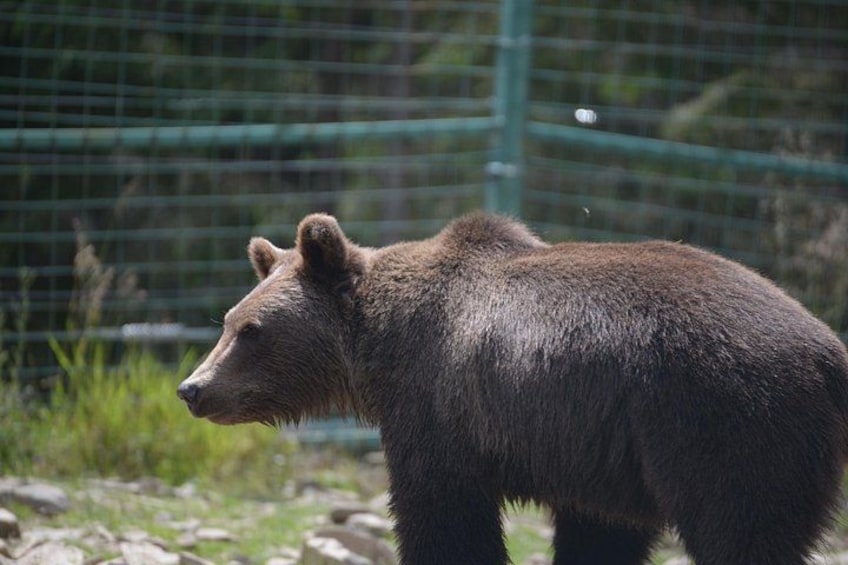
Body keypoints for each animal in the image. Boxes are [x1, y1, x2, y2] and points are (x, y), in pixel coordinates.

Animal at [177, 212, 848, 565]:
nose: (192, 388)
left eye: (252, 330)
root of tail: (830, 350)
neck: (377, 347)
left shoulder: (438, 403)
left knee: (743, 529)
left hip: (726, 419)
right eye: (228, 321)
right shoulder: (599, 456)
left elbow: (442, 511)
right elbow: (599, 532)